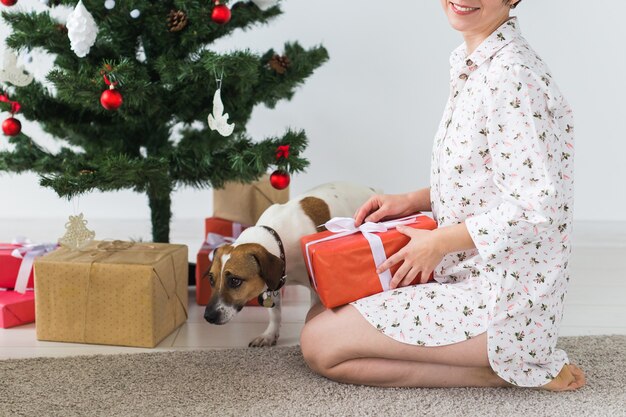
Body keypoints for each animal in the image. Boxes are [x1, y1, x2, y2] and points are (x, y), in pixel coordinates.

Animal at [204, 181, 376, 344]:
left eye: (235, 281)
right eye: (211, 279)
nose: (208, 316)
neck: (279, 239)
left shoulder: (314, 289)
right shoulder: (274, 284)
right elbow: (275, 313)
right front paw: (270, 334)